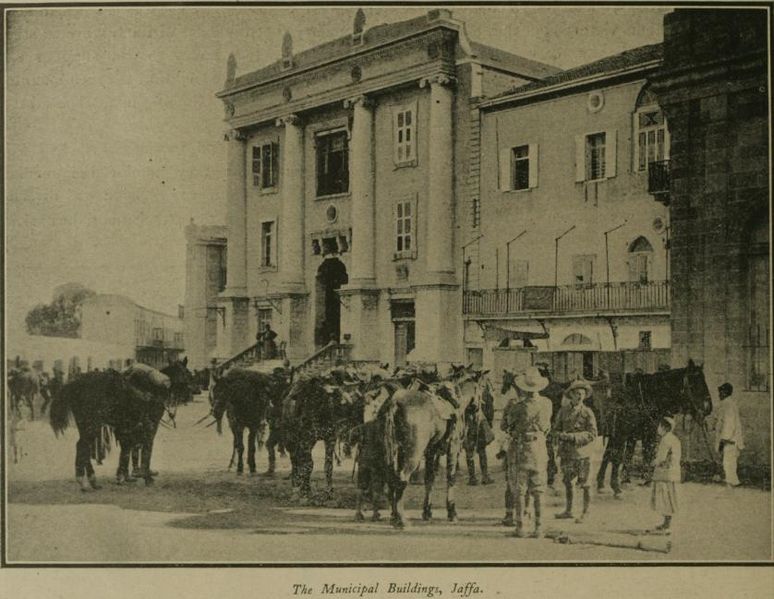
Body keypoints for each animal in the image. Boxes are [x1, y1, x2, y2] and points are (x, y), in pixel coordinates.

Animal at [378, 366, 488, 528]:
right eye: (482, 387)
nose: (478, 412)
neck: (456, 401)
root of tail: (395, 402)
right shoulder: (453, 448)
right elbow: (451, 477)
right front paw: (452, 511)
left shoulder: (431, 452)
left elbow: (429, 478)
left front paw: (427, 511)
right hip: (414, 453)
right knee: (402, 477)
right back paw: (402, 519)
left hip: (393, 451)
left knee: (391, 477)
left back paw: (394, 516)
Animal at [596, 360, 712, 496]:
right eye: (694, 383)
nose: (708, 407)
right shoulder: (627, 434)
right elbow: (624, 456)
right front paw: (621, 485)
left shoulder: (625, 434)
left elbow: (611, 455)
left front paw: (603, 484)